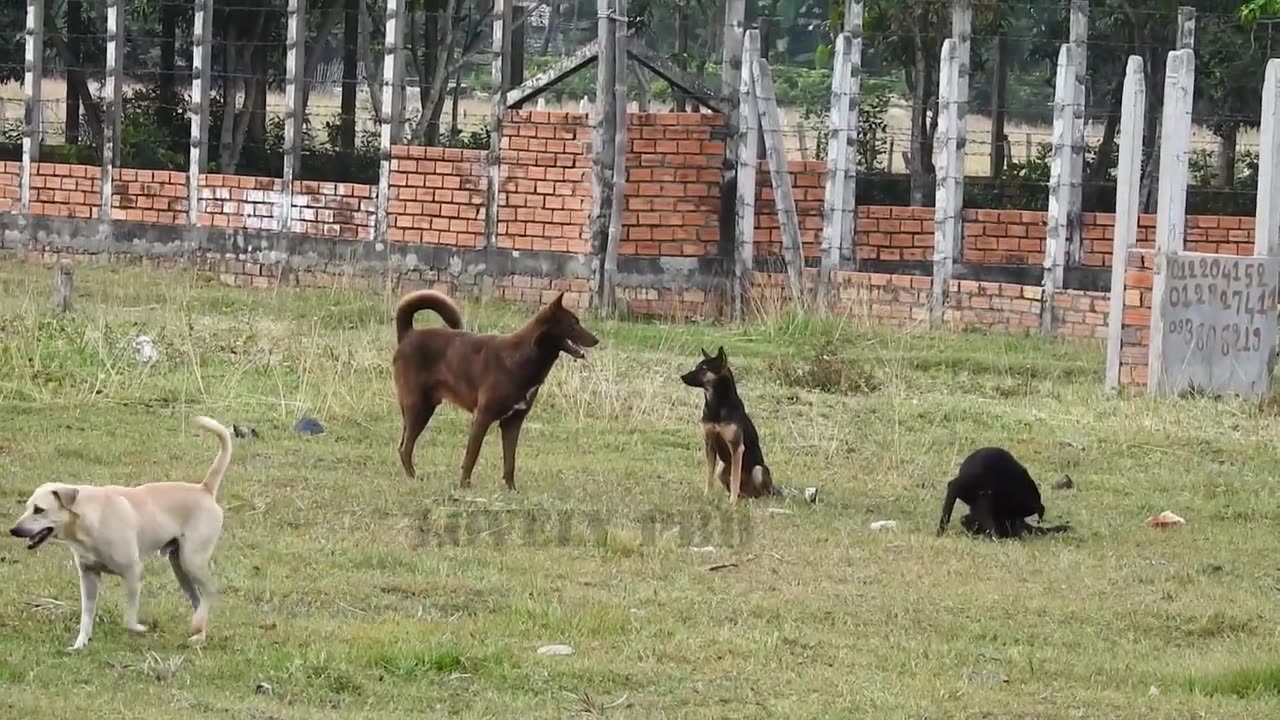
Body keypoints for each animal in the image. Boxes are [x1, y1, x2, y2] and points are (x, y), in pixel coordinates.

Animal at [8, 412, 235, 648]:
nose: (13, 530)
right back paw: (199, 631)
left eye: (39, 509)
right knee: (198, 598)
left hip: (192, 559)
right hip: (180, 565)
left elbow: (129, 619)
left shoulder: (133, 572)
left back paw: (198, 627)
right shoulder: (88, 577)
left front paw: (139, 629)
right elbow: (86, 617)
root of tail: (204, 489)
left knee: (210, 590)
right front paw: (80, 644)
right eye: (27, 507)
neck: (89, 518)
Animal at [391, 286, 596, 486]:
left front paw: (511, 489)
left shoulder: (513, 422)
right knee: (405, 448)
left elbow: (510, 462)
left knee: (402, 444)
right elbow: (471, 457)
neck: (524, 355)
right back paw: (414, 478)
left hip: (421, 408)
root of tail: (408, 334)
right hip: (418, 406)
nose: (597, 340)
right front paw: (464, 487)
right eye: (573, 323)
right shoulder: (482, 417)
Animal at [675, 345, 773, 499]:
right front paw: (707, 494)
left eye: (704, 368)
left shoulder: (736, 447)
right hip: (721, 468)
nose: (682, 376)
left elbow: (735, 477)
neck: (717, 404)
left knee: (762, 491)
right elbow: (709, 475)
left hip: (758, 470)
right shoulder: (709, 444)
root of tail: (748, 493)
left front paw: (732, 501)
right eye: (697, 366)